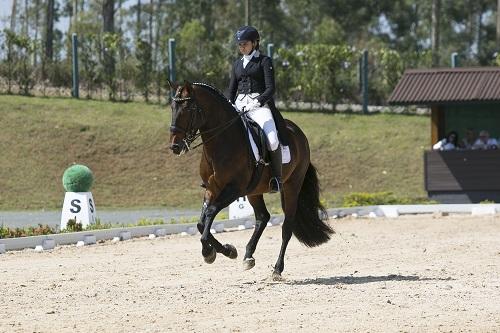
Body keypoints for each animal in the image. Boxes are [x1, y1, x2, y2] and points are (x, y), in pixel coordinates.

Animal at [167, 81, 332, 280]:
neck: (222, 142)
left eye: (189, 108)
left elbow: (211, 212)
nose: (175, 146)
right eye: (173, 107)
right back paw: (248, 256)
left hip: (292, 186)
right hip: (254, 190)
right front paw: (225, 251)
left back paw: (277, 269)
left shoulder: (235, 189)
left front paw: (211, 252)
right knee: (262, 217)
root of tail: (299, 133)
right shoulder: (212, 188)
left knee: (287, 226)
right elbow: (201, 222)